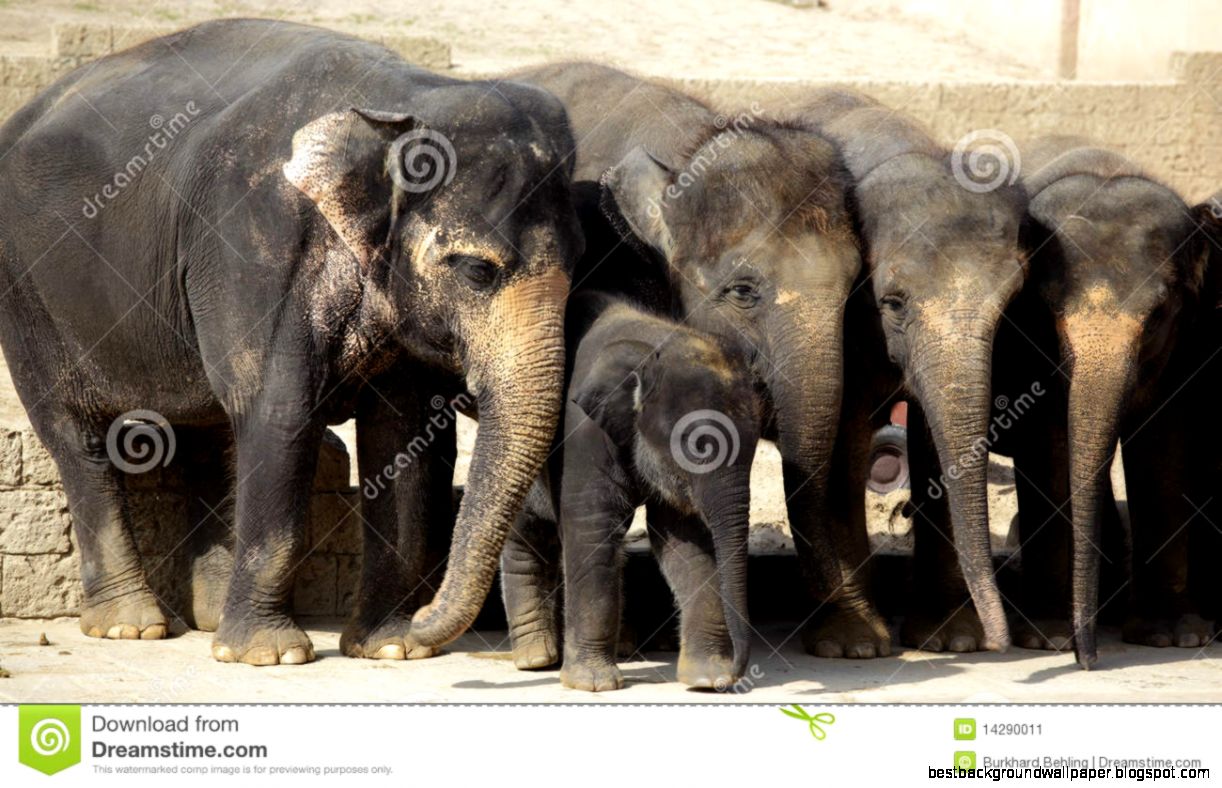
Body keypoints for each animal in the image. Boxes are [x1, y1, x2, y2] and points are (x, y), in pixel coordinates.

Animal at [0, 19, 583, 664]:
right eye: (478, 270)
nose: (429, 620)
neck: (405, 99)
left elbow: (403, 433)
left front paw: (389, 648)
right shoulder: (255, 249)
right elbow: (280, 412)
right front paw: (268, 655)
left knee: (211, 428)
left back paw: (206, 616)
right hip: (27, 295)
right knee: (76, 435)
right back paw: (133, 627)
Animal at [500, 289, 761, 691]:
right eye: (697, 446)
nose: (736, 672)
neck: (653, 345)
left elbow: (686, 538)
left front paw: (705, 679)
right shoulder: (581, 430)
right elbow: (592, 524)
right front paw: (593, 684)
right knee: (527, 534)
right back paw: (535, 659)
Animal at [795, 89, 1033, 654]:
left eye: (1009, 304)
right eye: (894, 303)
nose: (1002, 642)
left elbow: (933, 441)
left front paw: (952, 641)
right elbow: (845, 445)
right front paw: (857, 645)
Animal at [989, 138, 1212, 666]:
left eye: (1158, 315)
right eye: (1048, 309)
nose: (1086, 661)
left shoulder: (1186, 345)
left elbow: (1164, 446)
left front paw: (1173, 637)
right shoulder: (1026, 344)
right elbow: (1048, 444)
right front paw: (1046, 640)